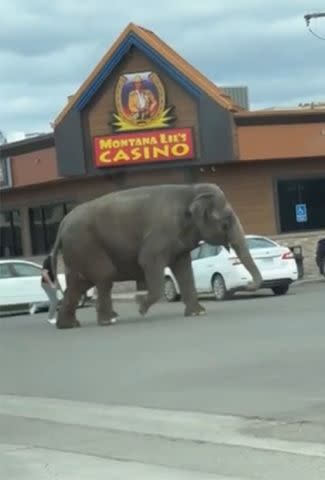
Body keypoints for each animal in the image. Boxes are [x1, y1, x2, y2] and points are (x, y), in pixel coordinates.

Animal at [52, 182, 262, 328]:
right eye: (226, 221)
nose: (249, 285)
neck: (191, 190)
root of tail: (62, 224)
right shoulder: (161, 233)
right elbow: (147, 261)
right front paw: (140, 307)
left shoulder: (178, 242)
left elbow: (184, 269)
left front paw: (198, 313)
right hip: (86, 245)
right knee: (104, 276)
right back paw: (107, 321)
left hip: (78, 252)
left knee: (78, 284)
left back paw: (69, 325)